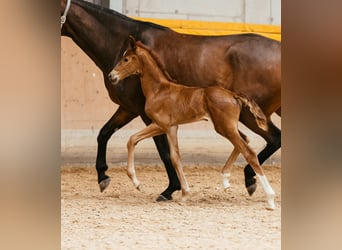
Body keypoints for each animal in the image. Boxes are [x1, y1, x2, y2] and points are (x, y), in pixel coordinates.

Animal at [109, 36, 276, 209]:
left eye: (126, 59)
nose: (111, 76)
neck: (159, 90)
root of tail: (233, 95)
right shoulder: (171, 127)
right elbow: (175, 157)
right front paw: (184, 194)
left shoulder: (162, 125)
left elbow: (133, 140)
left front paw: (138, 184)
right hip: (226, 126)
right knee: (244, 140)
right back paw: (225, 181)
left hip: (225, 126)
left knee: (249, 152)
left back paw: (270, 199)